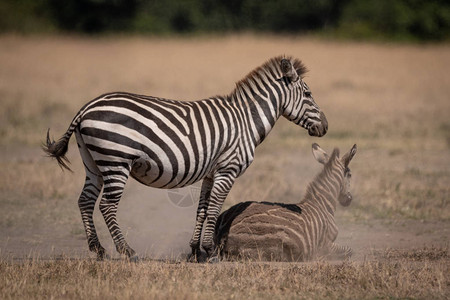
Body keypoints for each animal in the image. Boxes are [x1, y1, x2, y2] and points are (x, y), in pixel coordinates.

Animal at [43, 56, 326, 262]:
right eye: (308, 94)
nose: (325, 127)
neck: (245, 121)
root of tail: (87, 107)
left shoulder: (211, 172)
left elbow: (201, 209)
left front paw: (195, 251)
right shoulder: (228, 169)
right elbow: (214, 208)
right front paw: (211, 251)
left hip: (93, 162)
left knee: (85, 201)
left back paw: (98, 250)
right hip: (116, 160)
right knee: (106, 206)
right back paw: (127, 251)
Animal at [214, 144, 358, 262]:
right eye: (350, 175)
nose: (349, 200)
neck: (323, 205)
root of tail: (223, 231)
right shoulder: (325, 245)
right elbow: (349, 251)